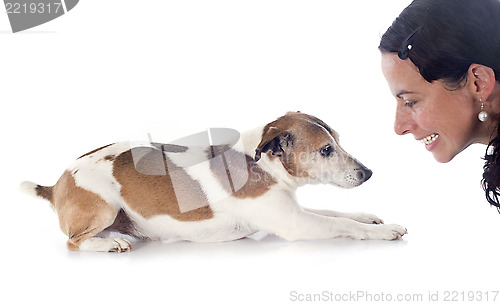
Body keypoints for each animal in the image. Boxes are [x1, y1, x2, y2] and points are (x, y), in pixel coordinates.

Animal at [21, 111, 408, 252]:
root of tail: (55, 184)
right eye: (326, 150)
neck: (260, 164)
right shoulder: (297, 224)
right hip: (102, 207)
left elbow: (337, 212)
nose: (368, 173)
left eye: (339, 141)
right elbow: (342, 224)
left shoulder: (293, 210)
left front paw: (370, 217)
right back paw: (108, 244)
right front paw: (385, 230)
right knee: (73, 242)